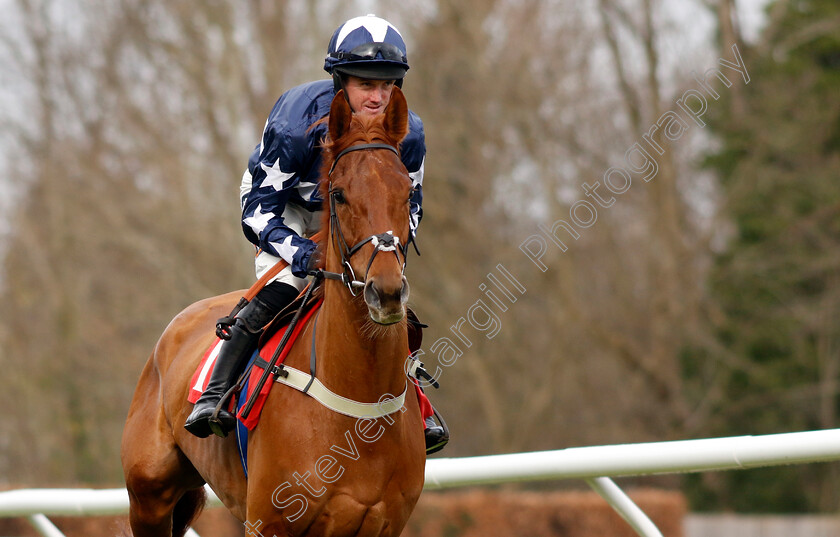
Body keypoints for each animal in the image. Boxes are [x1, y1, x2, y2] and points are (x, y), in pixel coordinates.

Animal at [121, 88, 426, 536]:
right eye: (339, 194)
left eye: (407, 193)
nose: (385, 291)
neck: (357, 404)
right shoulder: (269, 520)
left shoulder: (385, 524)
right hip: (149, 497)